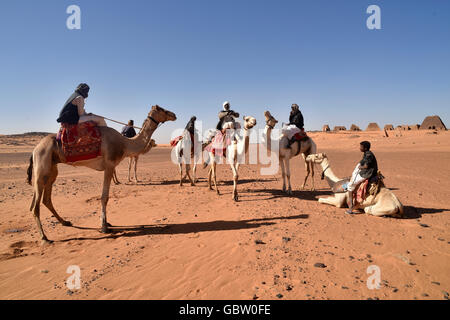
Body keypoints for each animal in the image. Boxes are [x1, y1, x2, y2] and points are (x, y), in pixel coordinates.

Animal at [25, 105, 178, 242]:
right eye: (162, 109)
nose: (174, 114)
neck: (125, 143)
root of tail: (35, 149)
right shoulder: (109, 166)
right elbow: (105, 197)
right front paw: (104, 226)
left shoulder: (108, 167)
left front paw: (106, 222)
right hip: (42, 165)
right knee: (35, 205)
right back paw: (44, 237)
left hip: (52, 167)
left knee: (45, 199)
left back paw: (65, 222)